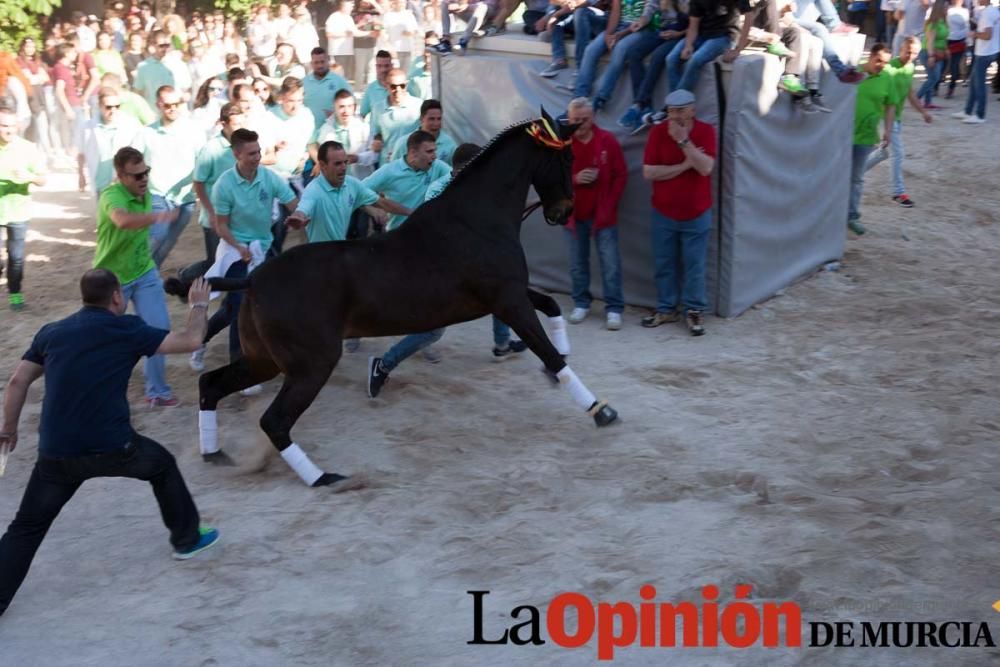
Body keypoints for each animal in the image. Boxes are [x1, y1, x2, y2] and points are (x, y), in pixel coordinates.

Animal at [172, 108, 616, 486]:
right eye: (566, 158)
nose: (563, 211)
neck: (476, 220)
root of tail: (255, 278)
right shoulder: (508, 300)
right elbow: (549, 353)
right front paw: (601, 410)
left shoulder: (506, 296)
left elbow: (552, 310)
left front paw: (557, 369)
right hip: (311, 364)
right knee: (274, 421)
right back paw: (324, 478)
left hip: (265, 360)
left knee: (213, 385)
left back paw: (215, 453)